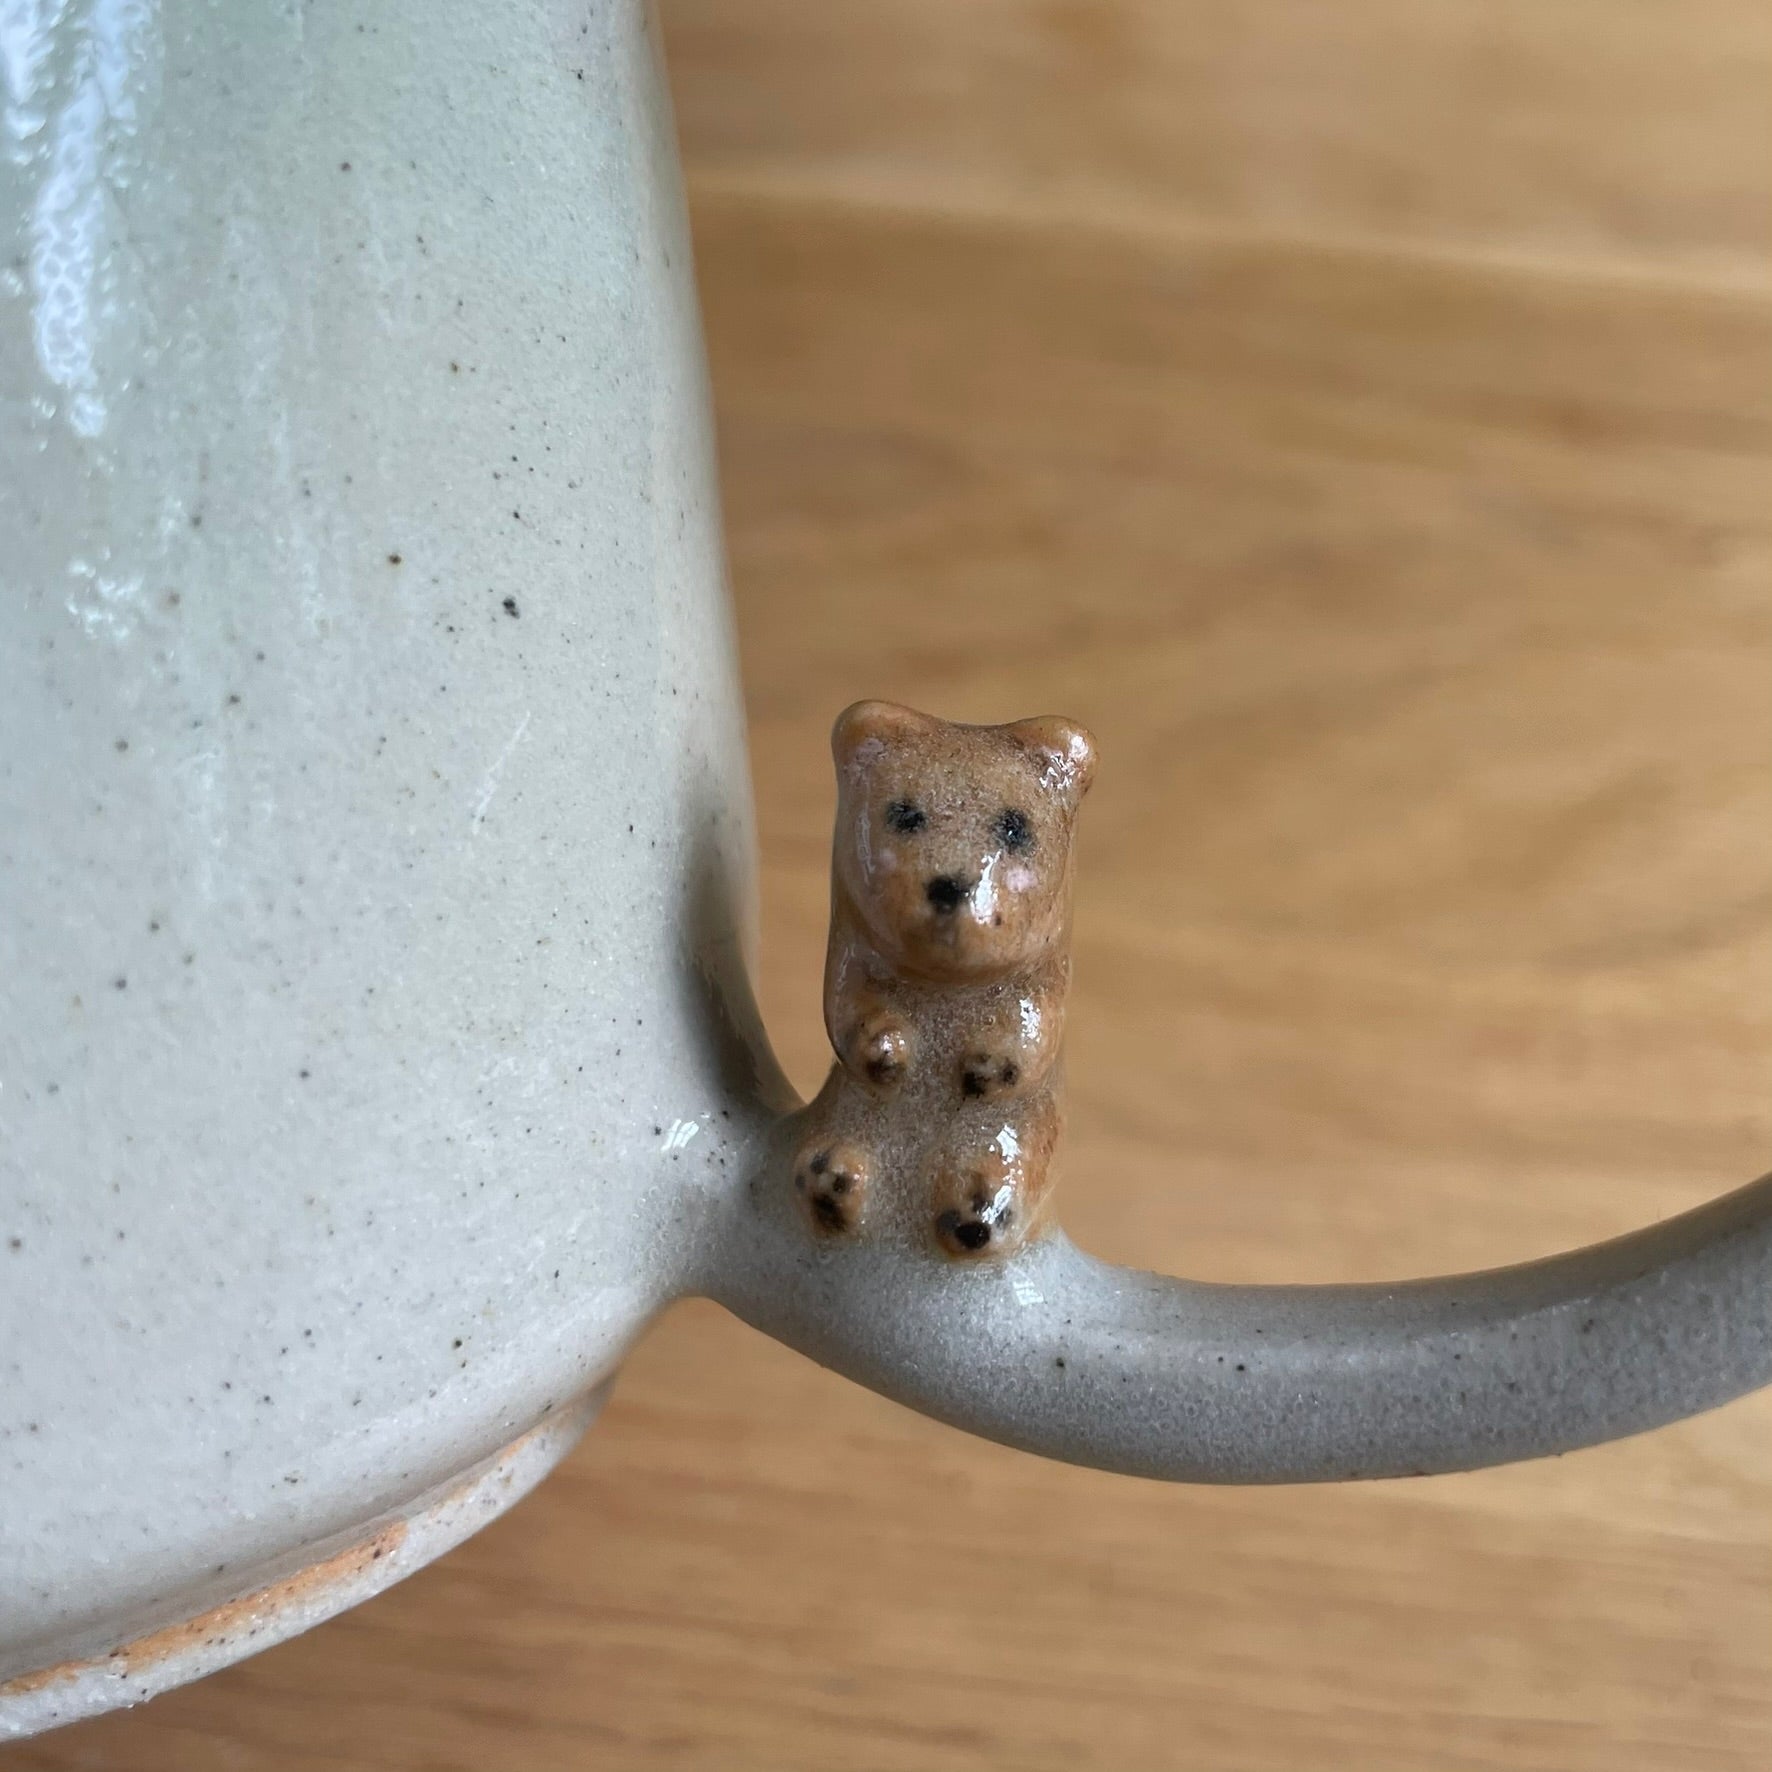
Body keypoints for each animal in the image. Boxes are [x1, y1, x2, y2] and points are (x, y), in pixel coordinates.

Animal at [789, 700, 1096, 1259]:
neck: (947, 989)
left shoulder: (1040, 985)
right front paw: (886, 1049)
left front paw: (985, 1066)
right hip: (845, 1123)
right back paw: (833, 1181)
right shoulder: (853, 962)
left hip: (1021, 1137)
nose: (952, 886)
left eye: (1015, 827)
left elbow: (1036, 1027)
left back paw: (976, 1208)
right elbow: (846, 1009)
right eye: (905, 814)